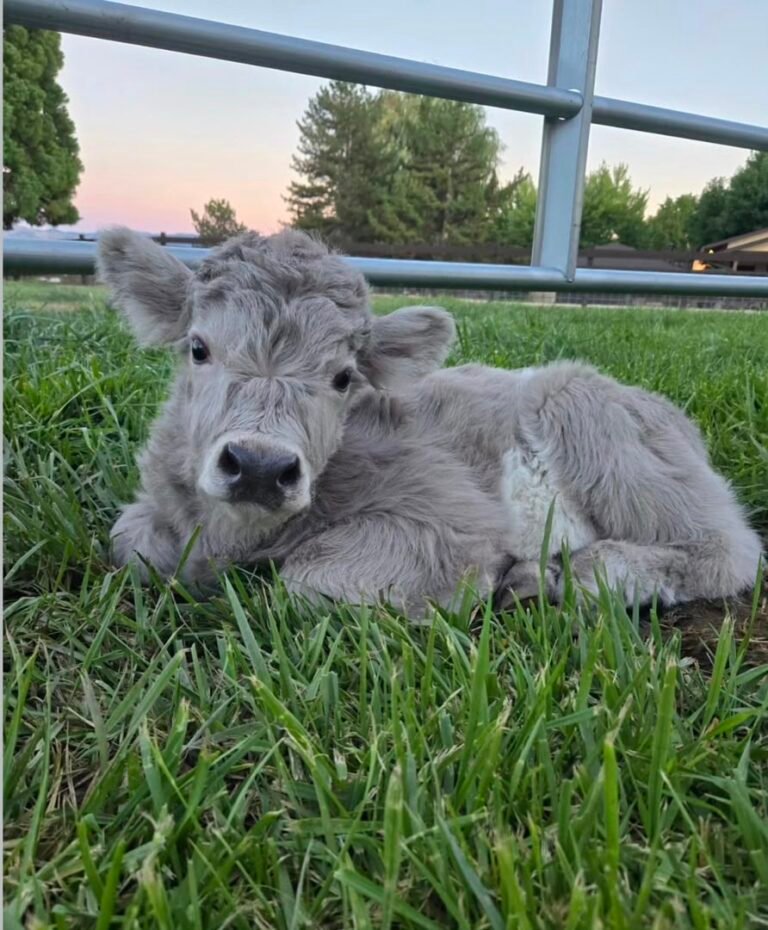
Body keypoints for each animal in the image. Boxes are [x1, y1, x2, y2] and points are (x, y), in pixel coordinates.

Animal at [98, 228, 763, 614]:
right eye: (198, 348)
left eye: (343, 378)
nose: (260, 466)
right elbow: (129, 541)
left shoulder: (449, 517)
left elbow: (311, 581)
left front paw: (480, 583)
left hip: (591, 425)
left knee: (728, 548)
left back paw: (581, 573)